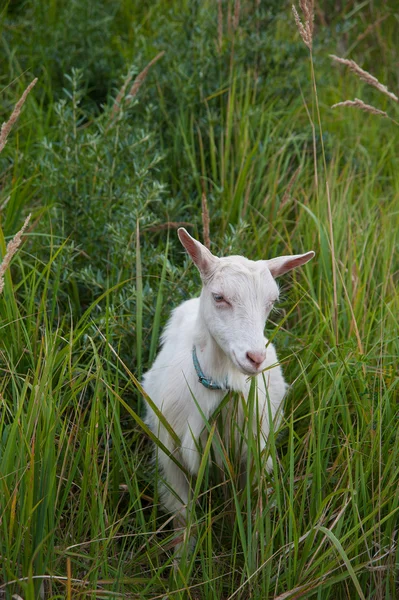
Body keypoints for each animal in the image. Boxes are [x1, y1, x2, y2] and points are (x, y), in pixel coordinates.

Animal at [144, 230, 316, 528]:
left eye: (272, 302)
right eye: (219, 297)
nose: (255, 357)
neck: (218, 385)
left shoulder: (258, 453)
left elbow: (258, 512)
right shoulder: (171, 458)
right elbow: (183, 518)